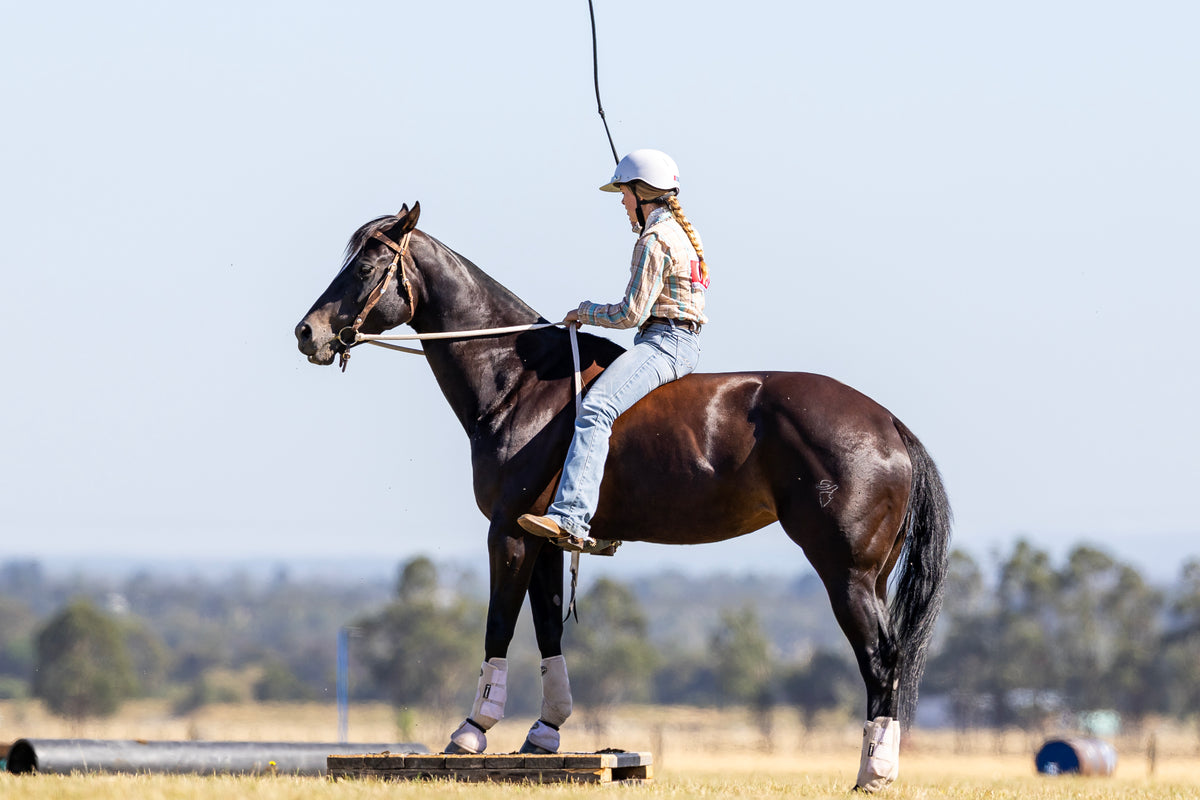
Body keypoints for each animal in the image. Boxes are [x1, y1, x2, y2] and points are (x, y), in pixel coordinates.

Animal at [295, 203, 951, 791]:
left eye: (367, 265)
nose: (308, 332)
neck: (518, 381)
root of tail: (889, 423)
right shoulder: (541, 536)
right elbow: (548, 631)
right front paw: (544, 733)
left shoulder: (505, 530)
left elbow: (499, 624)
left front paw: (472, 731)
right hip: (873, 576)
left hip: (846, 572)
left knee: (881, 661)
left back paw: (873, 774)